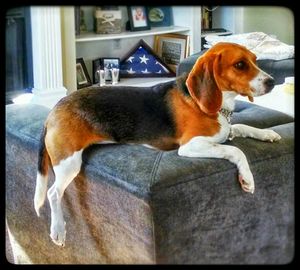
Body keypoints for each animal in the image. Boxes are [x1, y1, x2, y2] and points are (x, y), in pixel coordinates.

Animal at [34, 42, 282, 247]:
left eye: (255, 60)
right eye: (240, 65)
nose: (272, 82)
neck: (215, 104)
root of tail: (53, 111)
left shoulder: (225, 131)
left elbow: (240, 127)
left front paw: (266, 133)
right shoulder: (190, 146)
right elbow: (236, 150)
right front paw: (247, 178)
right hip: (69, 162)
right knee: (53, 193)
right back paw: (58, 229)